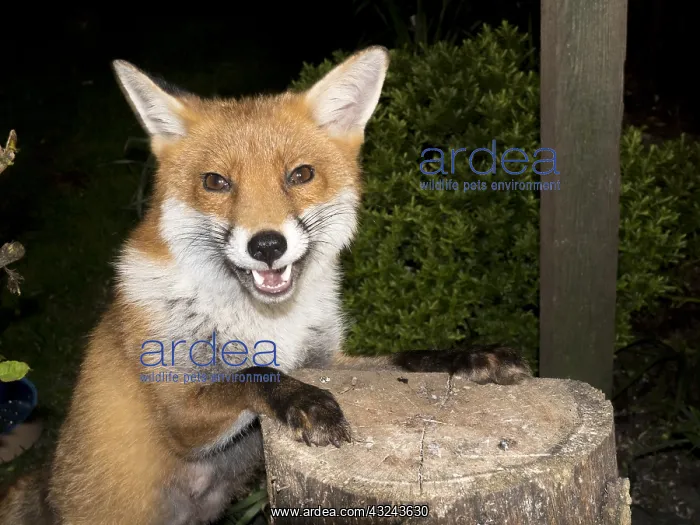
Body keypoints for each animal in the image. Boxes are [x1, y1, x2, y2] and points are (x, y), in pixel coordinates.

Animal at [0, 46, 531, 524]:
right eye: (216, 182)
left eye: (300, 174)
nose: (268, 245)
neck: (269, 322)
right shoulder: (178, 412)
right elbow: (254, 373)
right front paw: (305, 402)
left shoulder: (327, 362)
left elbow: (406, 358)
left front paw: (469, 356)